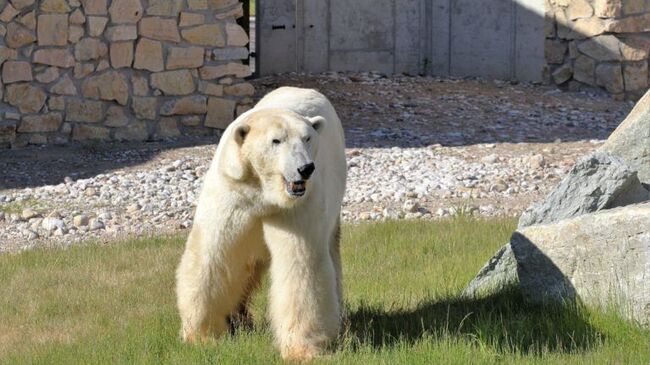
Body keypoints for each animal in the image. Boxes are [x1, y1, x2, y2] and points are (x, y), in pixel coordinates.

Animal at [172, 86, 344, 360]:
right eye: (276, 141)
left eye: (307, 138)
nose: (306, 168)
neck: (264, 190)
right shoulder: (233, 189)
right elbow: (214, 255)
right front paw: (201, 335)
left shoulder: (298, 205)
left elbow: (300, 266)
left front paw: (302, 350)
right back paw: (240, 317)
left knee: (330, 251)